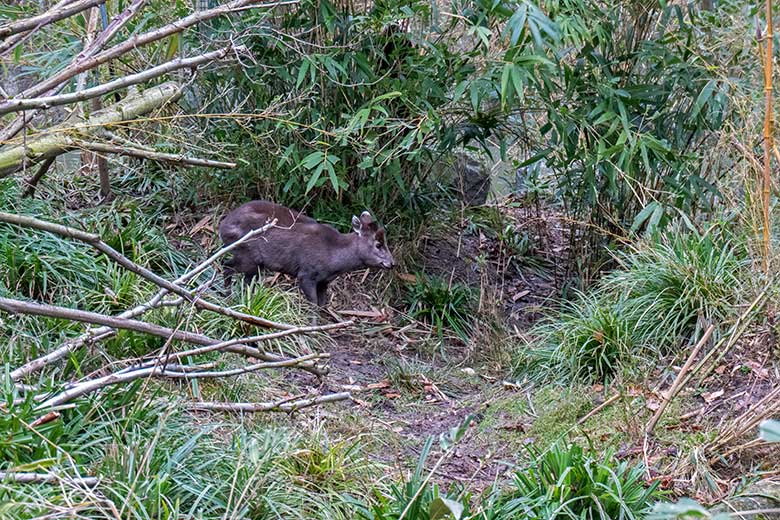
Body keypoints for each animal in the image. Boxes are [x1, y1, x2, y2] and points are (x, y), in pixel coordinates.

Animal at [218, 198, 396, 304]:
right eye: (378, 244)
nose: (392, 263)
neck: (334, 255)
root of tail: (222, 226)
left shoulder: (324, 281)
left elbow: (322, 306)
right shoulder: (306, 274)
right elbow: (314, 306)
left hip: (254, 263)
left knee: (243, 279)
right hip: (247, 254)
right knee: (226, 266)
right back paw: (228, 298)